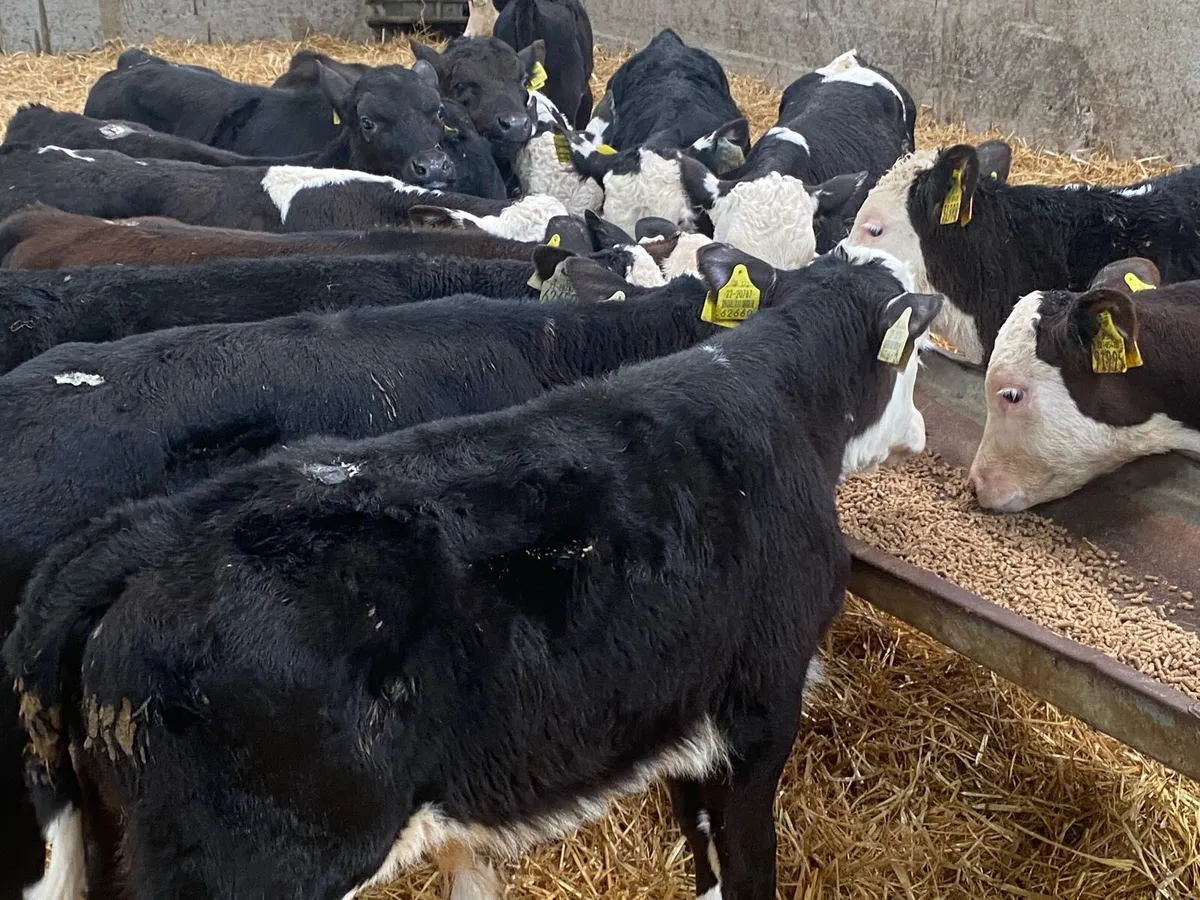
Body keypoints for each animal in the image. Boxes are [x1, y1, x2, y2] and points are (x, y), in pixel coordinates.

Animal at [4, 240, 941, 900]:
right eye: (919, 355)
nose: (926, 433)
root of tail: (144, 538)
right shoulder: (759, 705)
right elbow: (745, 865)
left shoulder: (684, 710)